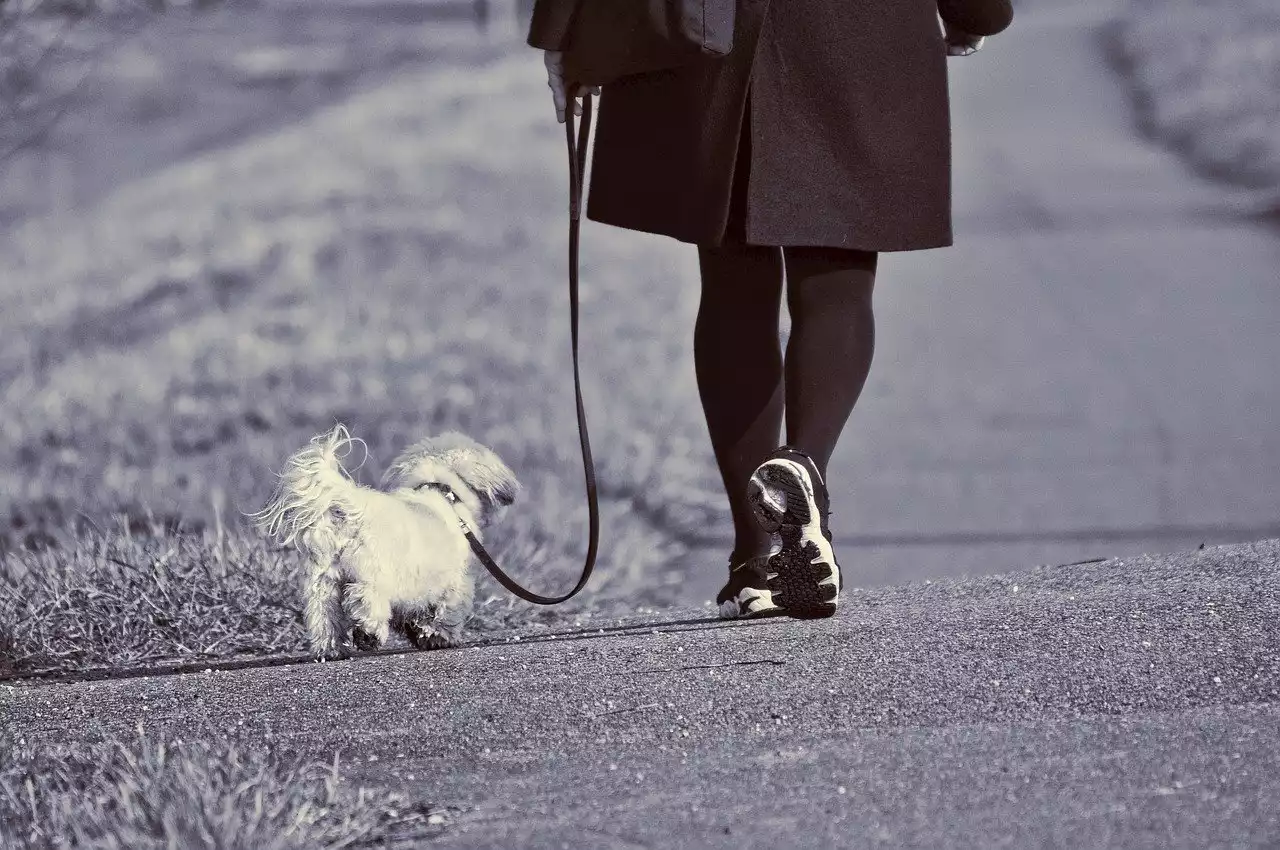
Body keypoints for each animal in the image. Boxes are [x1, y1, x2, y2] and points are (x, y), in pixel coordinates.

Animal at [250, 425, 519, 655]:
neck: (441, 491)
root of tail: (354, 510)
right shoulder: (455, 583)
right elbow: (448, 612)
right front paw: (439, 637)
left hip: (323, 581)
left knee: (323, 613)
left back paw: (330, 648)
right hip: (373, 574)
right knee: (366, 600)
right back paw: (368, 635)